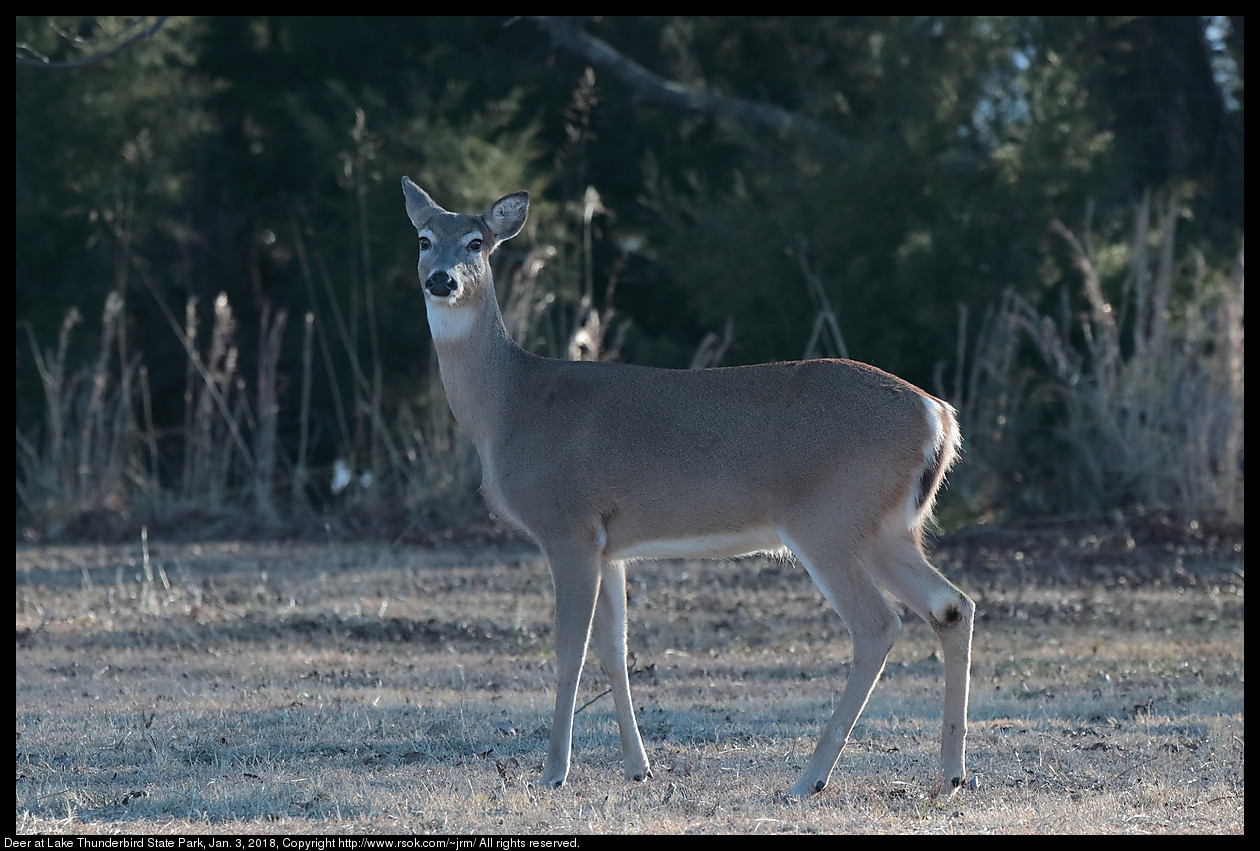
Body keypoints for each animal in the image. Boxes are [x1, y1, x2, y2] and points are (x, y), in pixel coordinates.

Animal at [403, 177, 972, 796]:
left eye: (477, 243)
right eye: (425, 239)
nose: (442, 279)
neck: (507, 406)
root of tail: (937, 414)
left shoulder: (566, 525)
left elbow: (569, 649)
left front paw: (554, 771)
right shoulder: (609, 545)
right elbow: (615, 649)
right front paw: (638, 766)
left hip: (828, 522)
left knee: (878, 625)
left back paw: (810, 778)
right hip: (888, 527)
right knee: (952, 605)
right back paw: (951, 772)